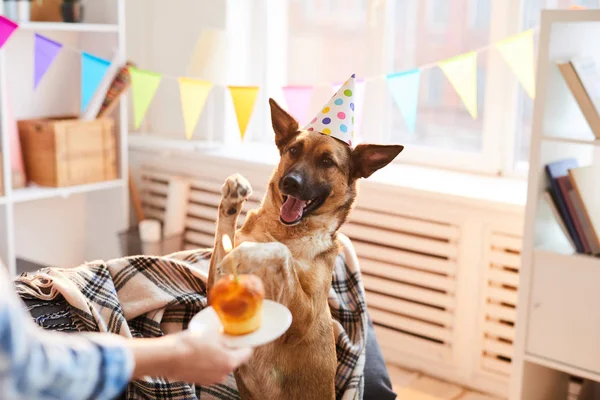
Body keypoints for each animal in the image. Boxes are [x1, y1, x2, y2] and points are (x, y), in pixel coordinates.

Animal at [207, 97, 404, 400]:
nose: (290, 182)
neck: (287, 231)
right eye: (293, 150)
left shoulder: (304, 317)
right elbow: (225, 236)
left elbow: (281, 253)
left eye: (327, 162)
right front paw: (231, 199)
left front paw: (255, 251)